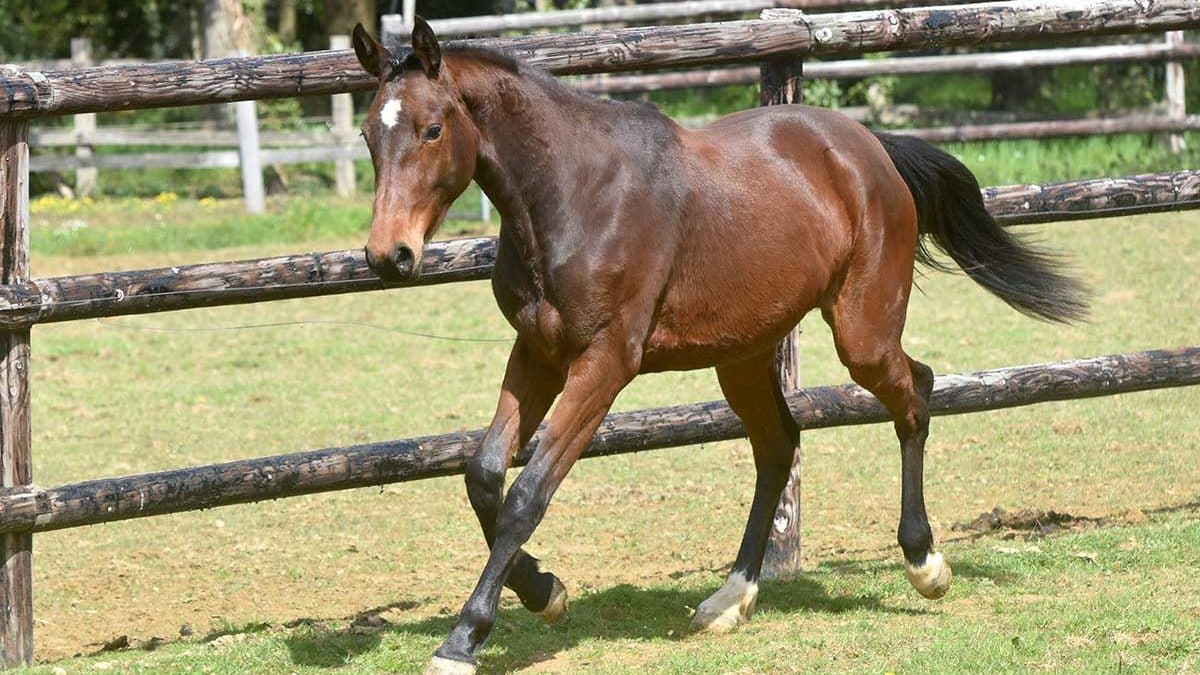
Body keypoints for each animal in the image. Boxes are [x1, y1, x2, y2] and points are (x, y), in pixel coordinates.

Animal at [350, 18, 1089, 667]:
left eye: (432, 128)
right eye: (366, 133)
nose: (390, 256)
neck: (573, 197)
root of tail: (868, 148)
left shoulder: (605, 362)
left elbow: (527, 494)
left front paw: (463, 640)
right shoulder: (536, 351)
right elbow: (483, 476)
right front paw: (545, 593)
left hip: (862, 331)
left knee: (917, 393)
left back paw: (924, 562)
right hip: (745, 353)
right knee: (780, 443)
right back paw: (730, 598)